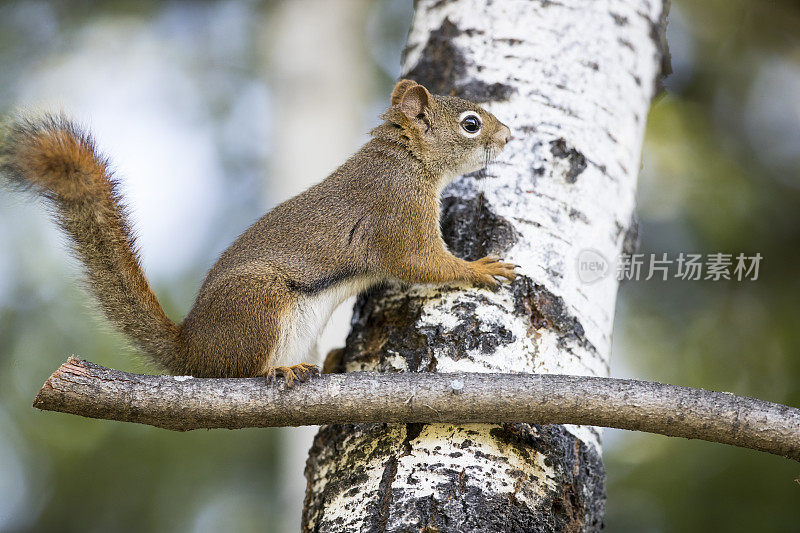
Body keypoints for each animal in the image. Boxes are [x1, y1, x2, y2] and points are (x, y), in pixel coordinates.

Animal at [3, 79, 516, 384]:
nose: (508, 136)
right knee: (243, 369)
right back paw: (281, 369)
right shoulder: (397, 212)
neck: (407, 159)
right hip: (257, 302)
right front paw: (480, 268)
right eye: (471, 124)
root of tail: (193, 351)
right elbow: (421, 263)